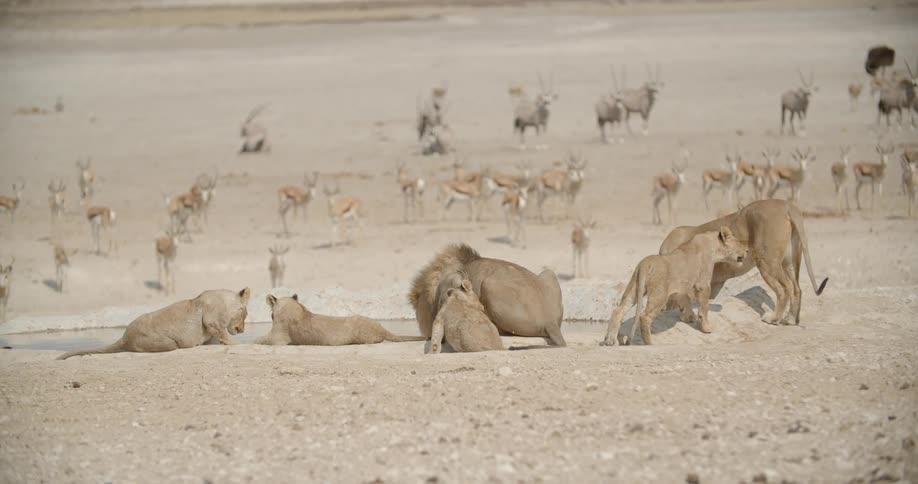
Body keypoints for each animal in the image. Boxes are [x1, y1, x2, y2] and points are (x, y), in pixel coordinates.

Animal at [57, 288, 251, 360]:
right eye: (246, 314)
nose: (242, 330)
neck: (226, 302)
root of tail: (124, 337)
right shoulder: (211, 321)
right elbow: (224, 334)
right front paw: (236, 343)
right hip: (166, 343)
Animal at [602, 226, 747, 346]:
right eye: (739, 243)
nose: (747, 250)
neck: (713, 246)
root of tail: (645, 263)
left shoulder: (683, 287)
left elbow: (684, 300)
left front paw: (688, 318)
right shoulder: (703, 283)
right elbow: (704, 307)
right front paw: (706, 328)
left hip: (634, 288)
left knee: (618, 311)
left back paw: (610, 340)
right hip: (659, 294)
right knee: (645, 316)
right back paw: (650, 343)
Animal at [658, 199, 827, 326]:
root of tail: (785, 204)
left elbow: (682, 298)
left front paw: (687, 316)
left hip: (766, 261)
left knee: (784, 289)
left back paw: (773, 318)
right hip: (789, 262)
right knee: (797, 289)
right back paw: (790, 319)